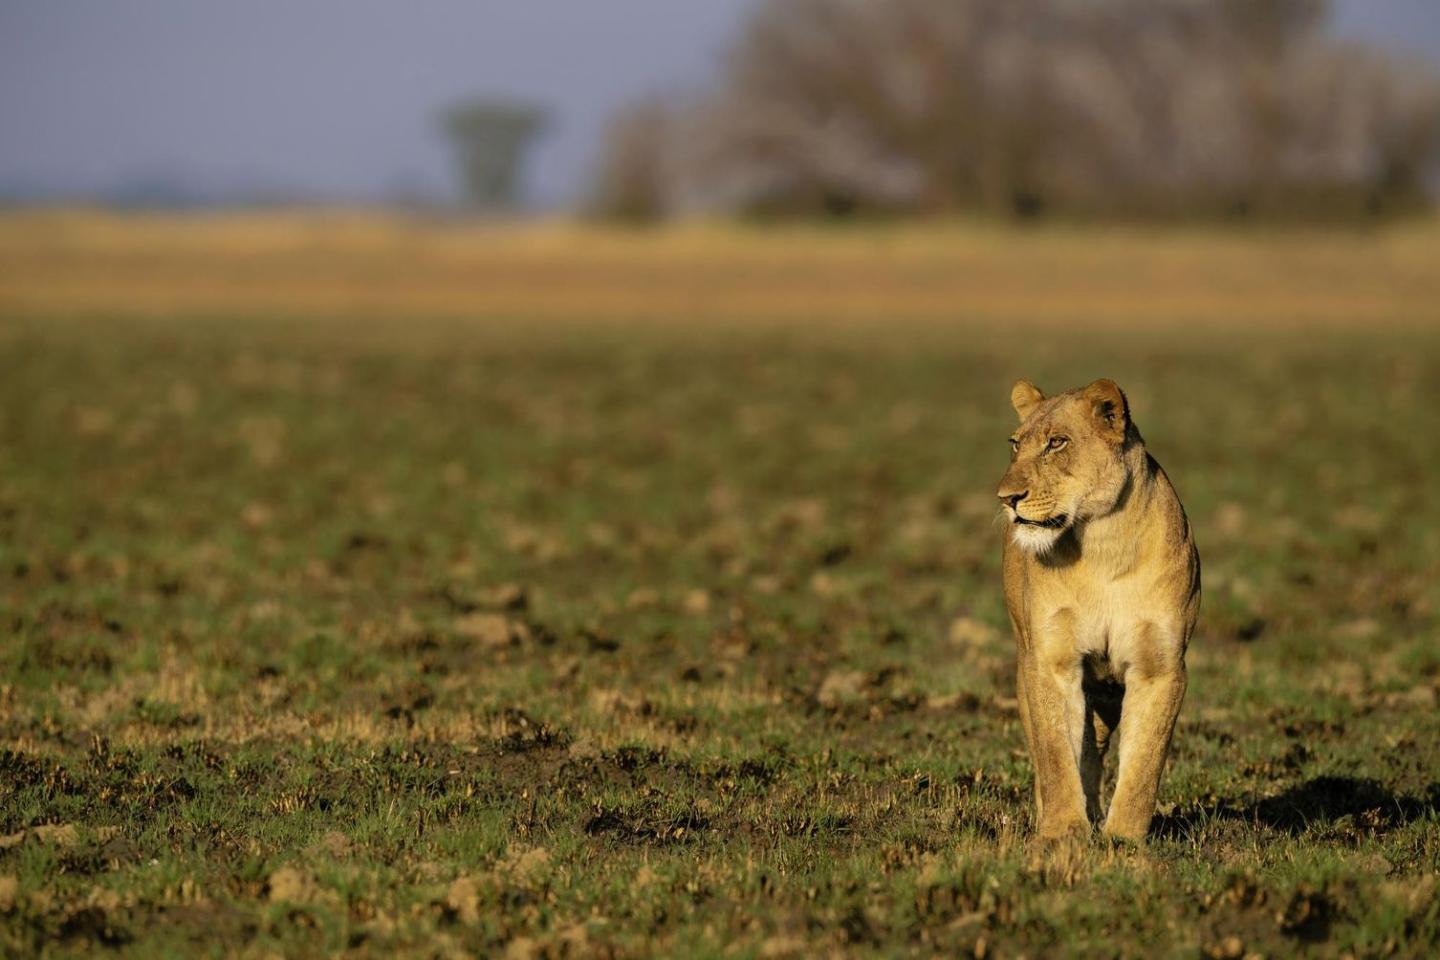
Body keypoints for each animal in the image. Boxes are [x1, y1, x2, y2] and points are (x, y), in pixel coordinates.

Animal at [996, 378, 1200, 840]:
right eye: (1015, 445)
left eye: (1056, 443)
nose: (1007, 498)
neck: (1104, 544)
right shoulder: (1051, 661)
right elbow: (1055, 753)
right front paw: (1061, 831)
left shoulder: (1160, 666)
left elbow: (1144, 761)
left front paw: (1122, 837)